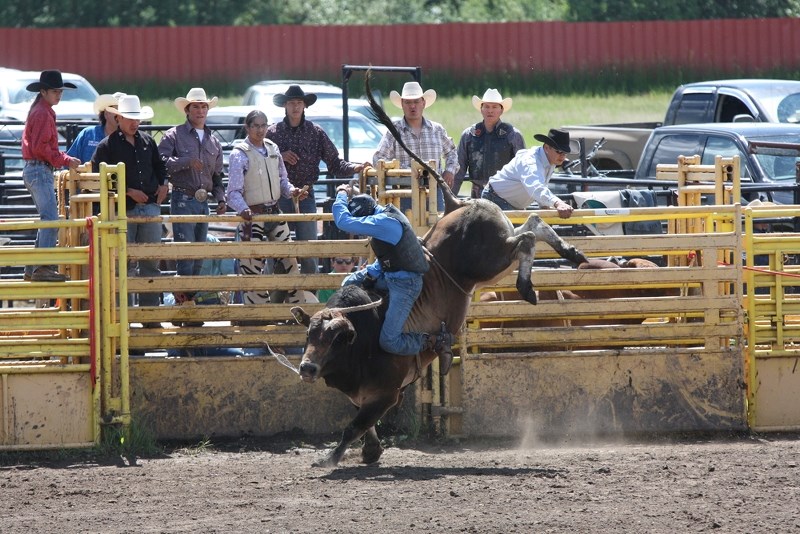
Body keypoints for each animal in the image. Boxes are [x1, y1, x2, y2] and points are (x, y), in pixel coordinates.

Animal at [286, 72, 588, 468]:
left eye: (334, 338)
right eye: (309, 334)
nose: (306, 368)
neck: (363, 333)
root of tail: (456, 203)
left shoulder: (386, 392)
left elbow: (355, 425)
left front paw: (330, 458)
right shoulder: (365, 394)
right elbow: (364, 424)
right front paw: (371, 451)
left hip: (490, 261)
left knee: (525, 239)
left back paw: (529, 286)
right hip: (494, 259)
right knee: (532, 226)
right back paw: (570, 253)